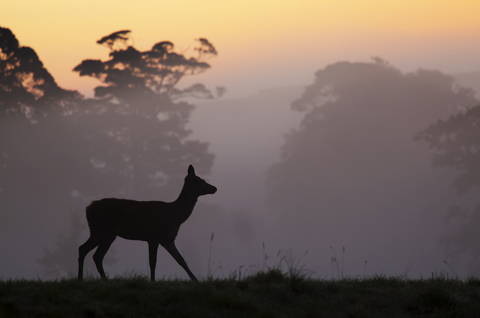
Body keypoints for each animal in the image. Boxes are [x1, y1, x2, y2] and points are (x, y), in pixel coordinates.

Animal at [78, 165, 217, 282]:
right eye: (200, 181)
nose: (214, 188)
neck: (176, 217)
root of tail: (87, 209)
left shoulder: (168, 240)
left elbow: (181, 260)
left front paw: (196, 280)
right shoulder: (154, 237)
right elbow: (153, 262)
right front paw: (153, 281)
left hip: (98, 232)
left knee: (85, 249)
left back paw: (83, 278)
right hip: (105, 232)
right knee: (96, 255)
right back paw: (99, 279)